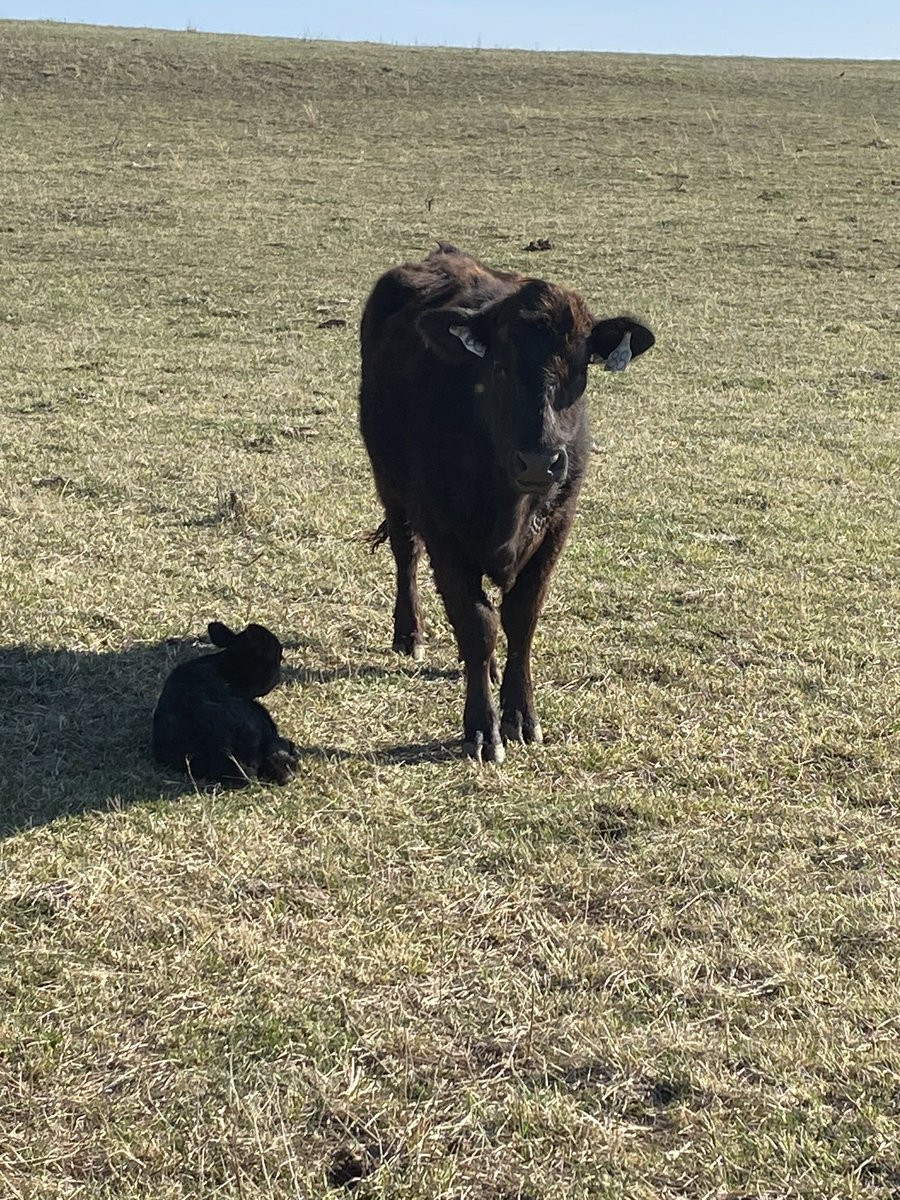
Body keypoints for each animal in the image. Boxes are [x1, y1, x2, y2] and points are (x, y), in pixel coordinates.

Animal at [360, 243, 657, 763]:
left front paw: (521, 714)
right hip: (389, 484)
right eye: (498, 366)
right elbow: (477, 622)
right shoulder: (443, 531)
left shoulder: (558, 525)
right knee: (404, 553)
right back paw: (409, 635)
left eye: (580, 369)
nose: (539, 461)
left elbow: (520, 616)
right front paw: (482, 728)